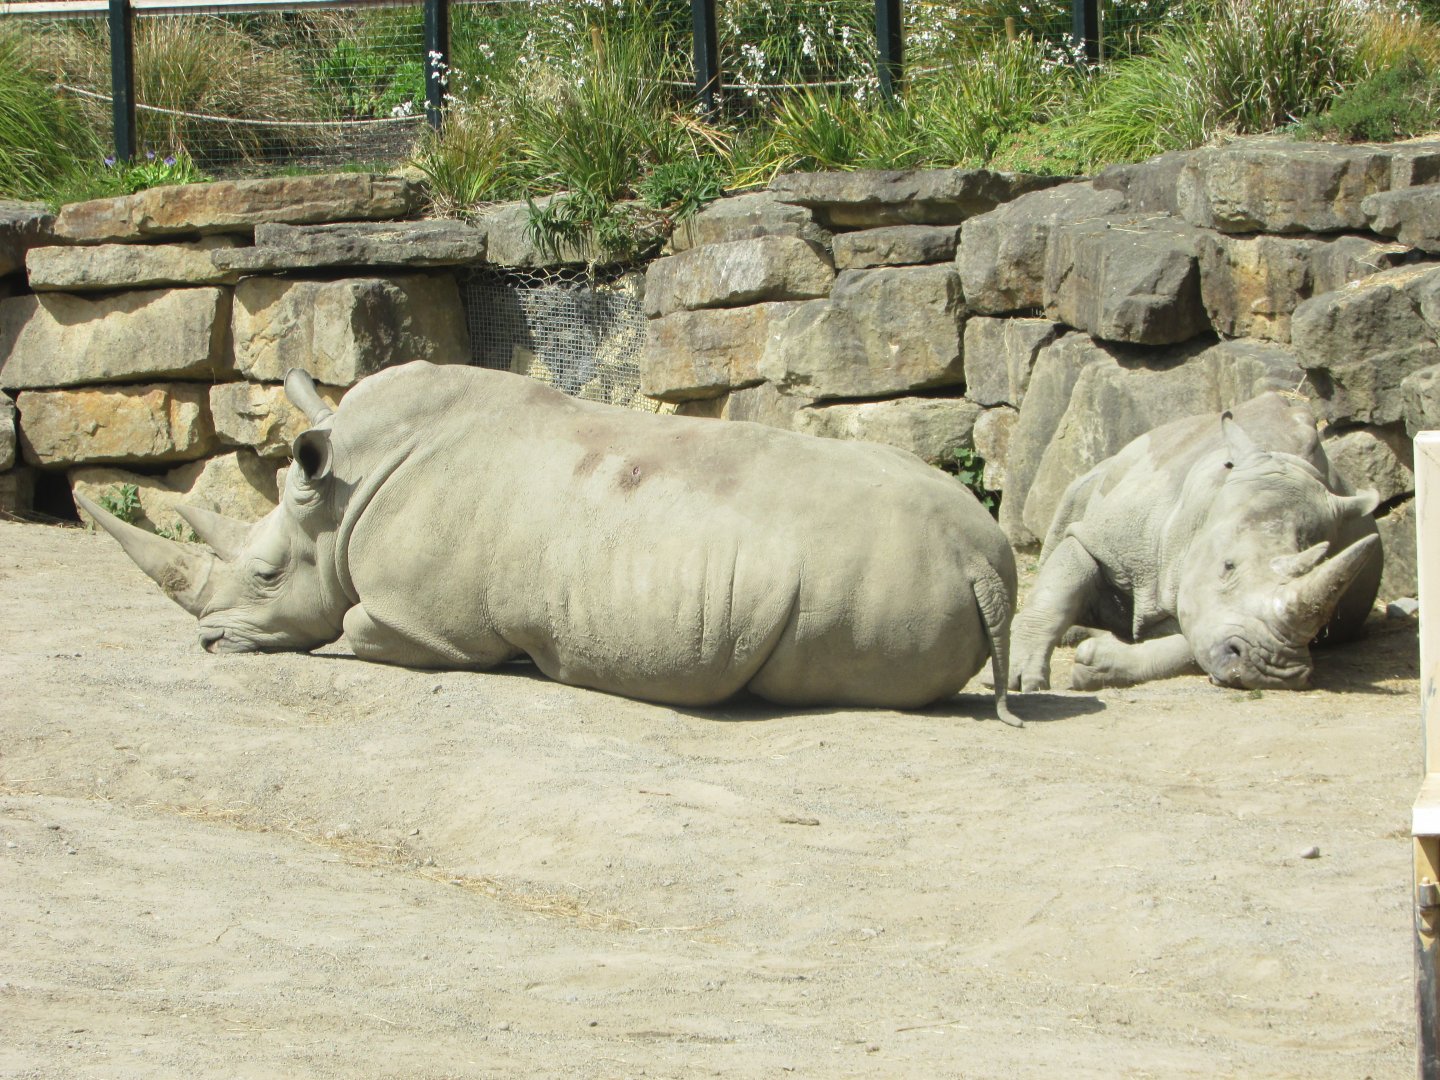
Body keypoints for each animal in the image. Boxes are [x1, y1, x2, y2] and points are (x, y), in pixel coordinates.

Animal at [79, 361, 1022, 723]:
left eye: (268, 576)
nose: (210, 640)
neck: (343, 497)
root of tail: (988, 563)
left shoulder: (422, 623)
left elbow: (348, 630)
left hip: (870, 582)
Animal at [1008, 392, 1382, 692]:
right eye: (1227, 566)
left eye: (1325, 618)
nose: (1273, 671)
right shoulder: (1102, 542)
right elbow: (1055, 592)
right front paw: (1020, 675)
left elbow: (1191, 642)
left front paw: (1097, 665)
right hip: (1113, 466)